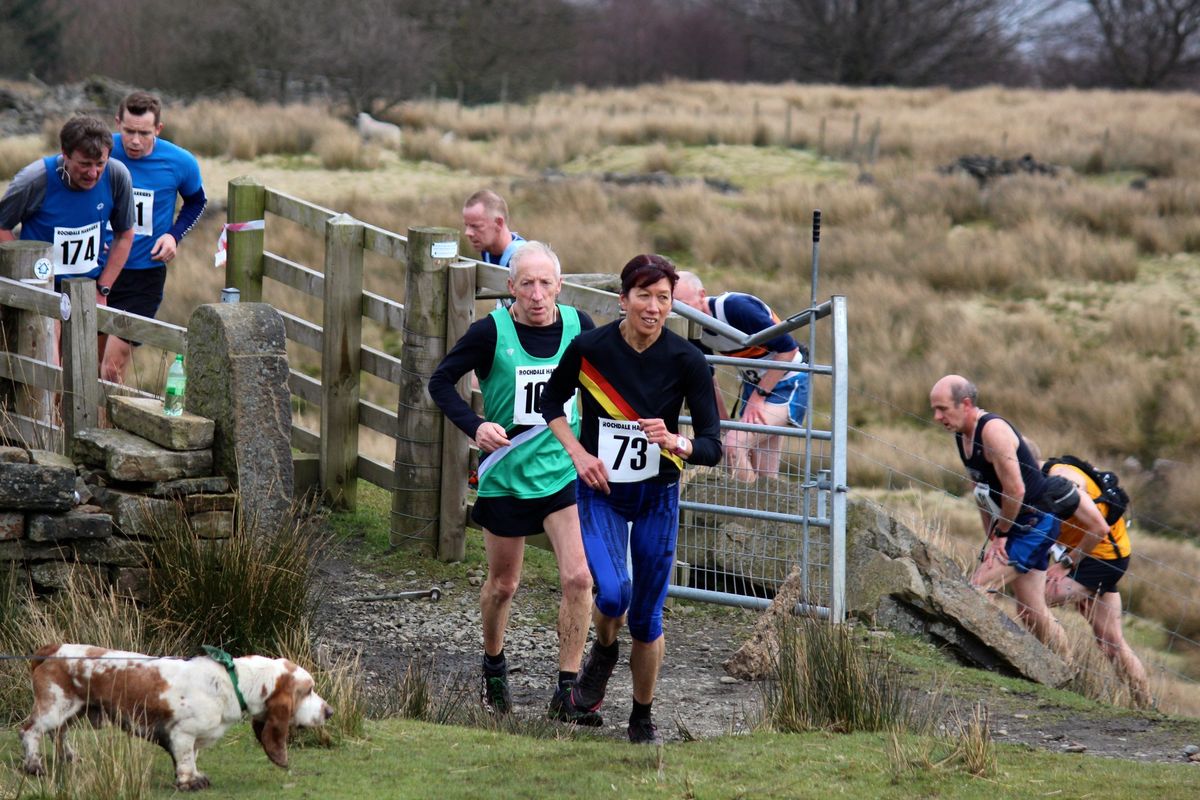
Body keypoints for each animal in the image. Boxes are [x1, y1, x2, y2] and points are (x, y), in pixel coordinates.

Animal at [18, 642, 336, 791]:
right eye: (308, 690)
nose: (330, 711)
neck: (233, 681)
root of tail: (51, 650)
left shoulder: (193, 740)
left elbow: (193, 758)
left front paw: (196, 776)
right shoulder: (182, 734)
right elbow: (184, 760)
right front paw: (188, 782)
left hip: (73, 710)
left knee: (58, 733)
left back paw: (69, 757)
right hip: (55, 707)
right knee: (30, 731)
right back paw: (34, 765)